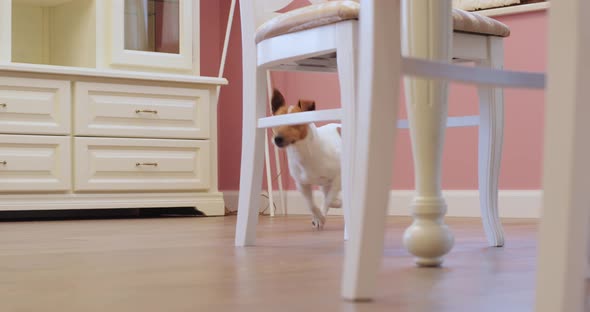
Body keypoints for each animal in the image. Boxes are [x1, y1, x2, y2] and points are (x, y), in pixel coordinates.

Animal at [272, 88, 344, 229]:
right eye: (276, 122)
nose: (277, 139)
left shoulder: (337, 178)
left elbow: (328, 200)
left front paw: (322, 216)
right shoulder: (302, 184)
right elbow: (311, 205)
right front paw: (318, 217)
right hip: (324, 185)